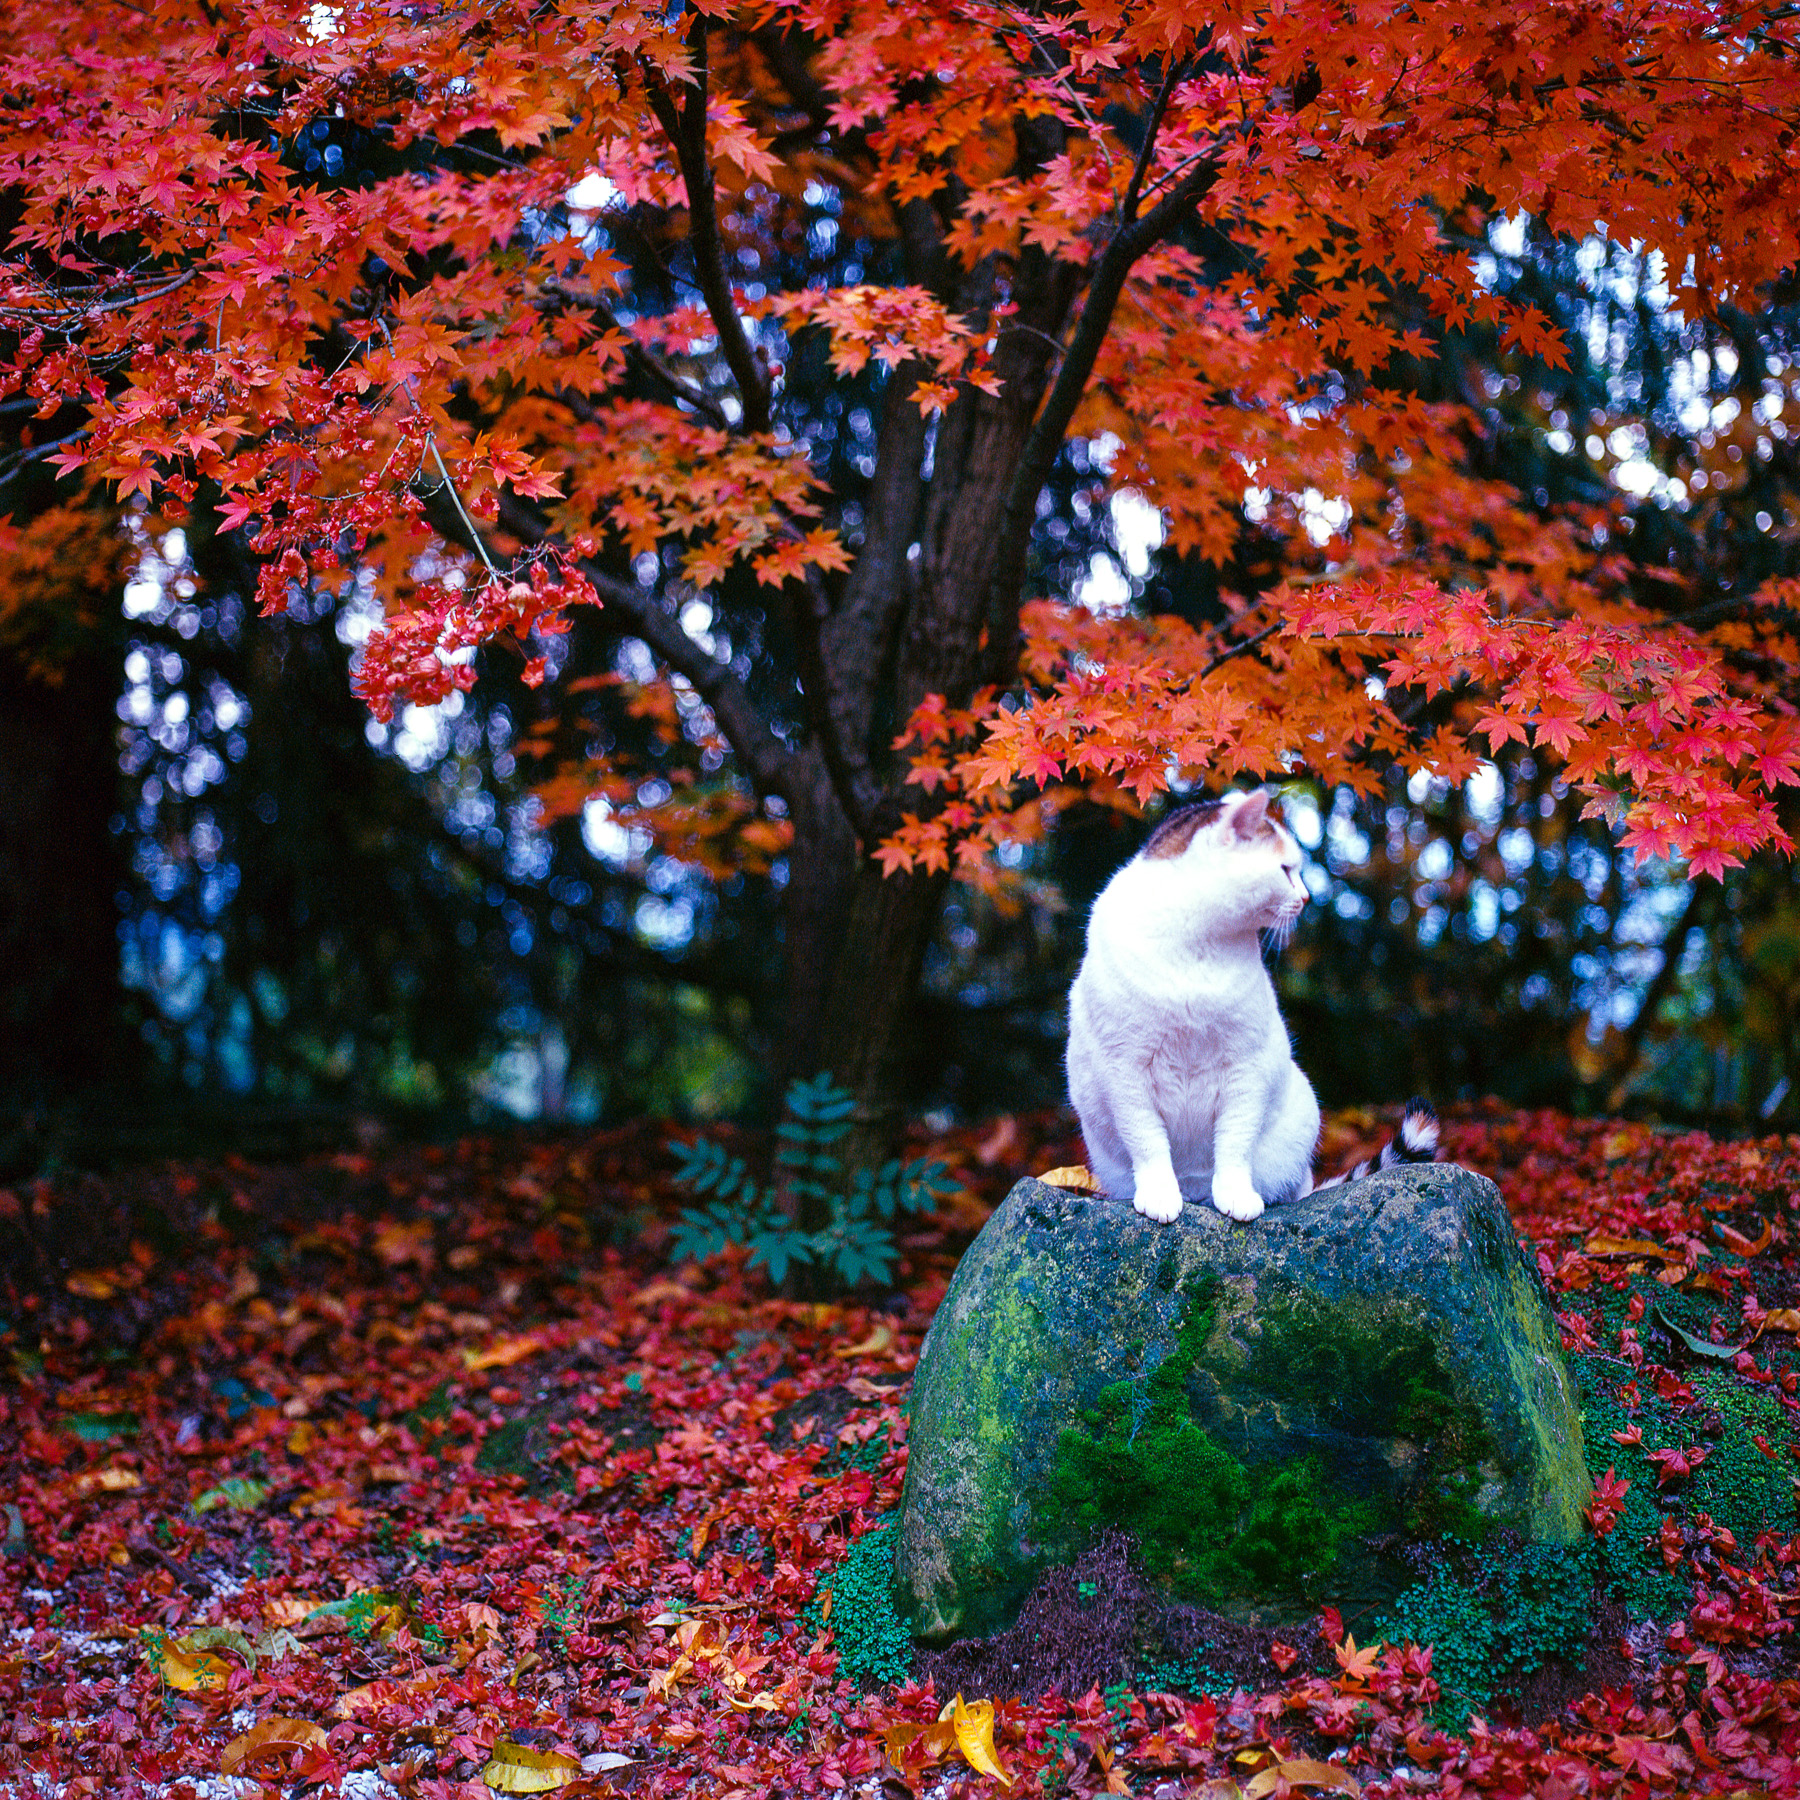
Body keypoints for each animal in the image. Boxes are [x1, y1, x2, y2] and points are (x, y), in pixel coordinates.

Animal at [1058, 795, 1317, 1231]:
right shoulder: (1124, 1070)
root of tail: (1196, 1190)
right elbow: (1147, 1142)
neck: (1196, 937)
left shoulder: (1246, 1066)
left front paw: (1236, 1195)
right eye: (1286, 870)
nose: (1308, 897)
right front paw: (1160, 1195)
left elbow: (1234, 1143)